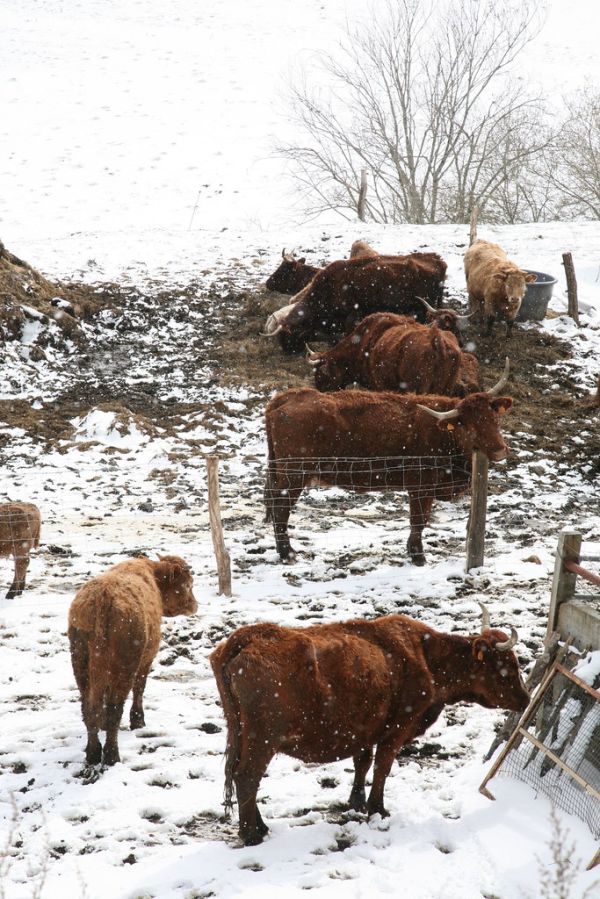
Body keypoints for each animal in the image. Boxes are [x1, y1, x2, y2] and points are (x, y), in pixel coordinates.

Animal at [68, 555, 197, 766]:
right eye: (188, 584)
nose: (195, 605)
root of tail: (103, 597)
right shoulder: (147, 658)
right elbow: (140, 687)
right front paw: (138, 720)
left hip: (81, 664)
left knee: (89, 708)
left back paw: (93, 752)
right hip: (124, 665)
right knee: (115, 709)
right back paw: (112, 755)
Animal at [210, 603, 529, 845]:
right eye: (506, 667)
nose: (525, 699)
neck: (426, 656)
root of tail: (247, 637)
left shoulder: (363, 730)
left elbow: (362, 762)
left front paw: (356, 802)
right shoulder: (397, 730)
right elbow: (381, 768)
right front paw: (378, 809)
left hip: (241, 733)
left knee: (241, 776)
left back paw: (260, 827)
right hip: (263, 739)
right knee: (247, 776)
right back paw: (252, 835)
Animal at [264, 361, 511, 564]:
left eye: (494, 418)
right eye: (468, 426)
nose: (500, 450)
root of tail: (288, 396)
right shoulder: (421, 487)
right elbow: (418, 521)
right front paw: (418, 556)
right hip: (294, 475)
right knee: (280, 508)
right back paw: (287, 553)